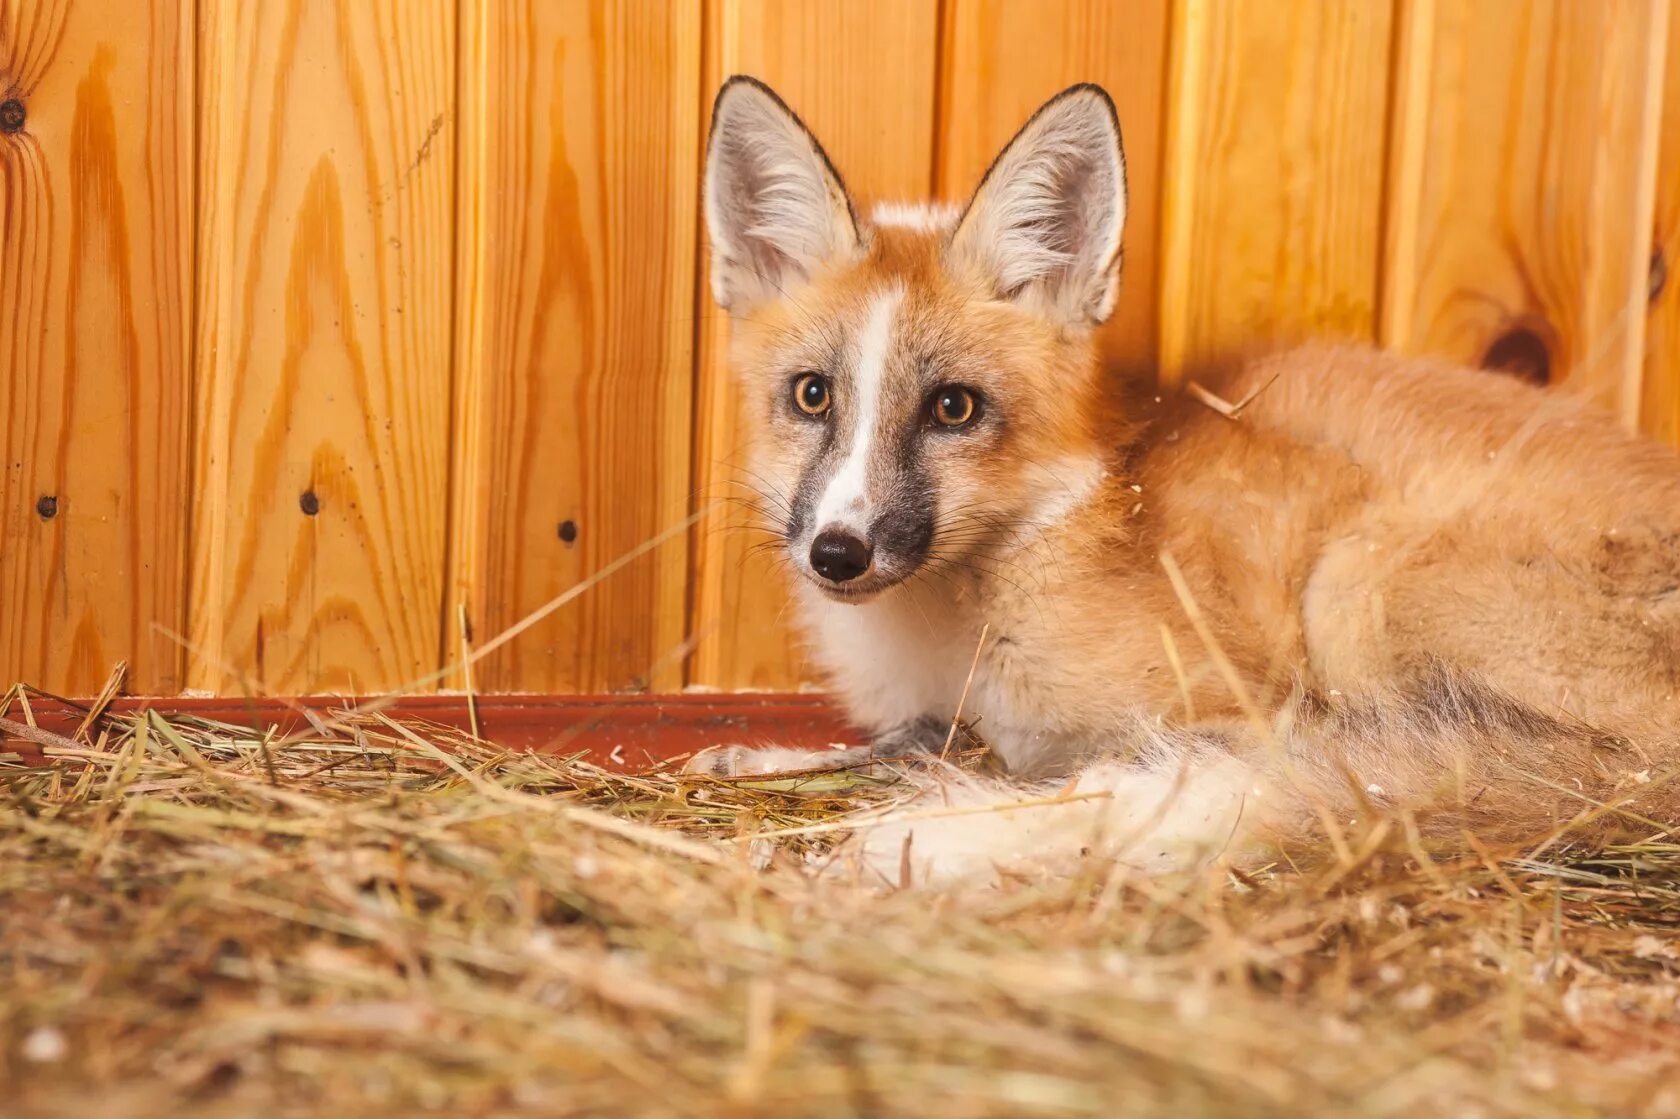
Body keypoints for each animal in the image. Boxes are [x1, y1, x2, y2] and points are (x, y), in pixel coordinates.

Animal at [688, 73, 1680, 887]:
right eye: (813, 395)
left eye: (953, 409)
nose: (838, 551)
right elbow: (898, 742)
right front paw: (754, 758)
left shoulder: (1244, 707)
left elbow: (1091, 771)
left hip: (1361, 587)